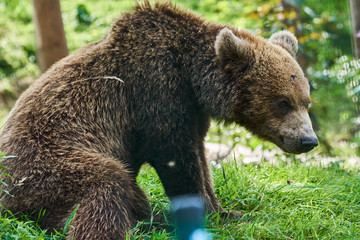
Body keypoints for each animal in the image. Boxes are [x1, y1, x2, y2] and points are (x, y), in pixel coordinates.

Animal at [0, 0, 316, 239]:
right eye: (283, 102)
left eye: (306, 100)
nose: (308, 140)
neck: (193, 78)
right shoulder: (155, 92)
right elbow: (175, 157)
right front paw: (205, 213)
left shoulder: (192, 112)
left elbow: (200, 157)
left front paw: (225, 210)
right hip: (42, 167)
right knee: (106, 183)